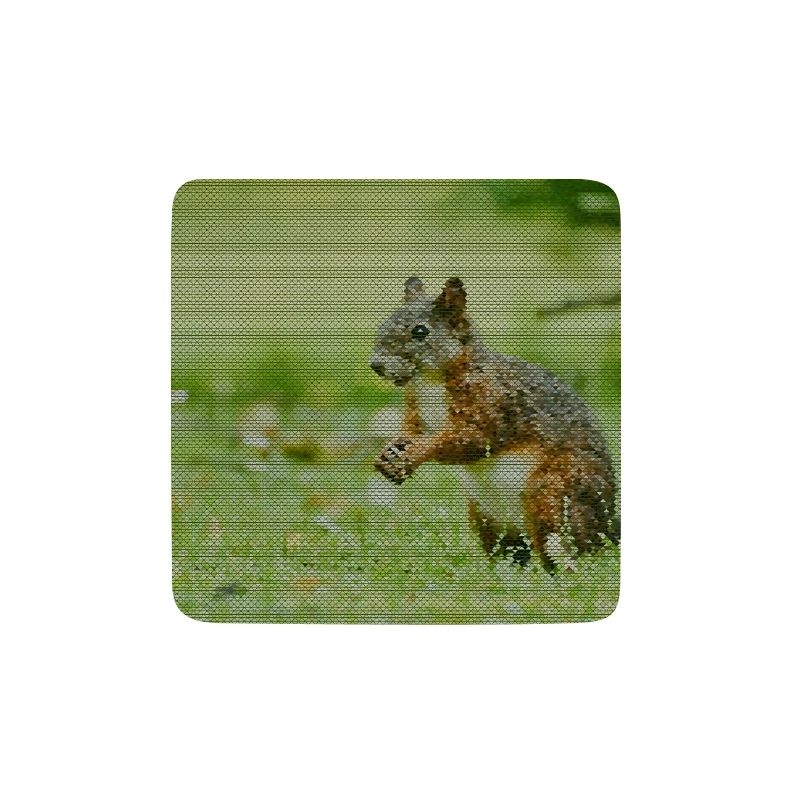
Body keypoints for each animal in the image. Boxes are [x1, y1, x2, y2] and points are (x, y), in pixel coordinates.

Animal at [370, 277, 619, 571]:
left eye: (420, 331)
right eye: (384, 322)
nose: (376, 365)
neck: (430, 381)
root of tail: (608, 520)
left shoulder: (494, 403)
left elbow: (470, 439)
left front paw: (416, 453)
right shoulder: (415, 412)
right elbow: (409, 431)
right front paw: (389, 453)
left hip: (553, 495)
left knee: (573, 549)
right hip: (485, 517)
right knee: (511, 551)